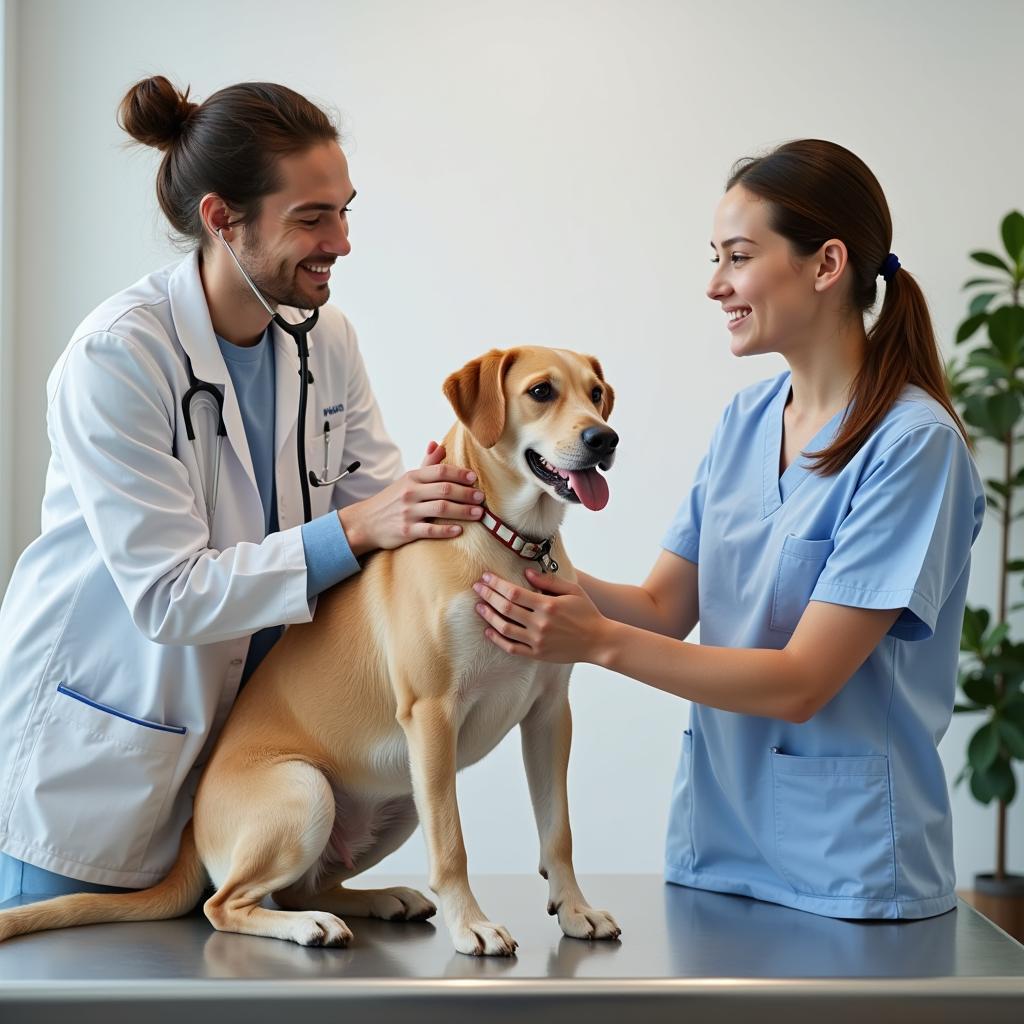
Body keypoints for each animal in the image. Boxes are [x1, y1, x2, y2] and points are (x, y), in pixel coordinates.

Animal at [0, 348, 614, 954]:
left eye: (596, 394)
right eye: (541, 391)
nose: (604, 439)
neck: (507, 541)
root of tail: (190, 829)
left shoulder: (549, 717)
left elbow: (558, 833)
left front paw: (575, 910)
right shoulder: (432, 714)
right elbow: (452, 845)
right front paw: (472, 925)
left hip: (401, 796)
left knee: (303, 886)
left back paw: (381, 899)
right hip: (311, 790)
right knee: (226, 905)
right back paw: (309, 925)